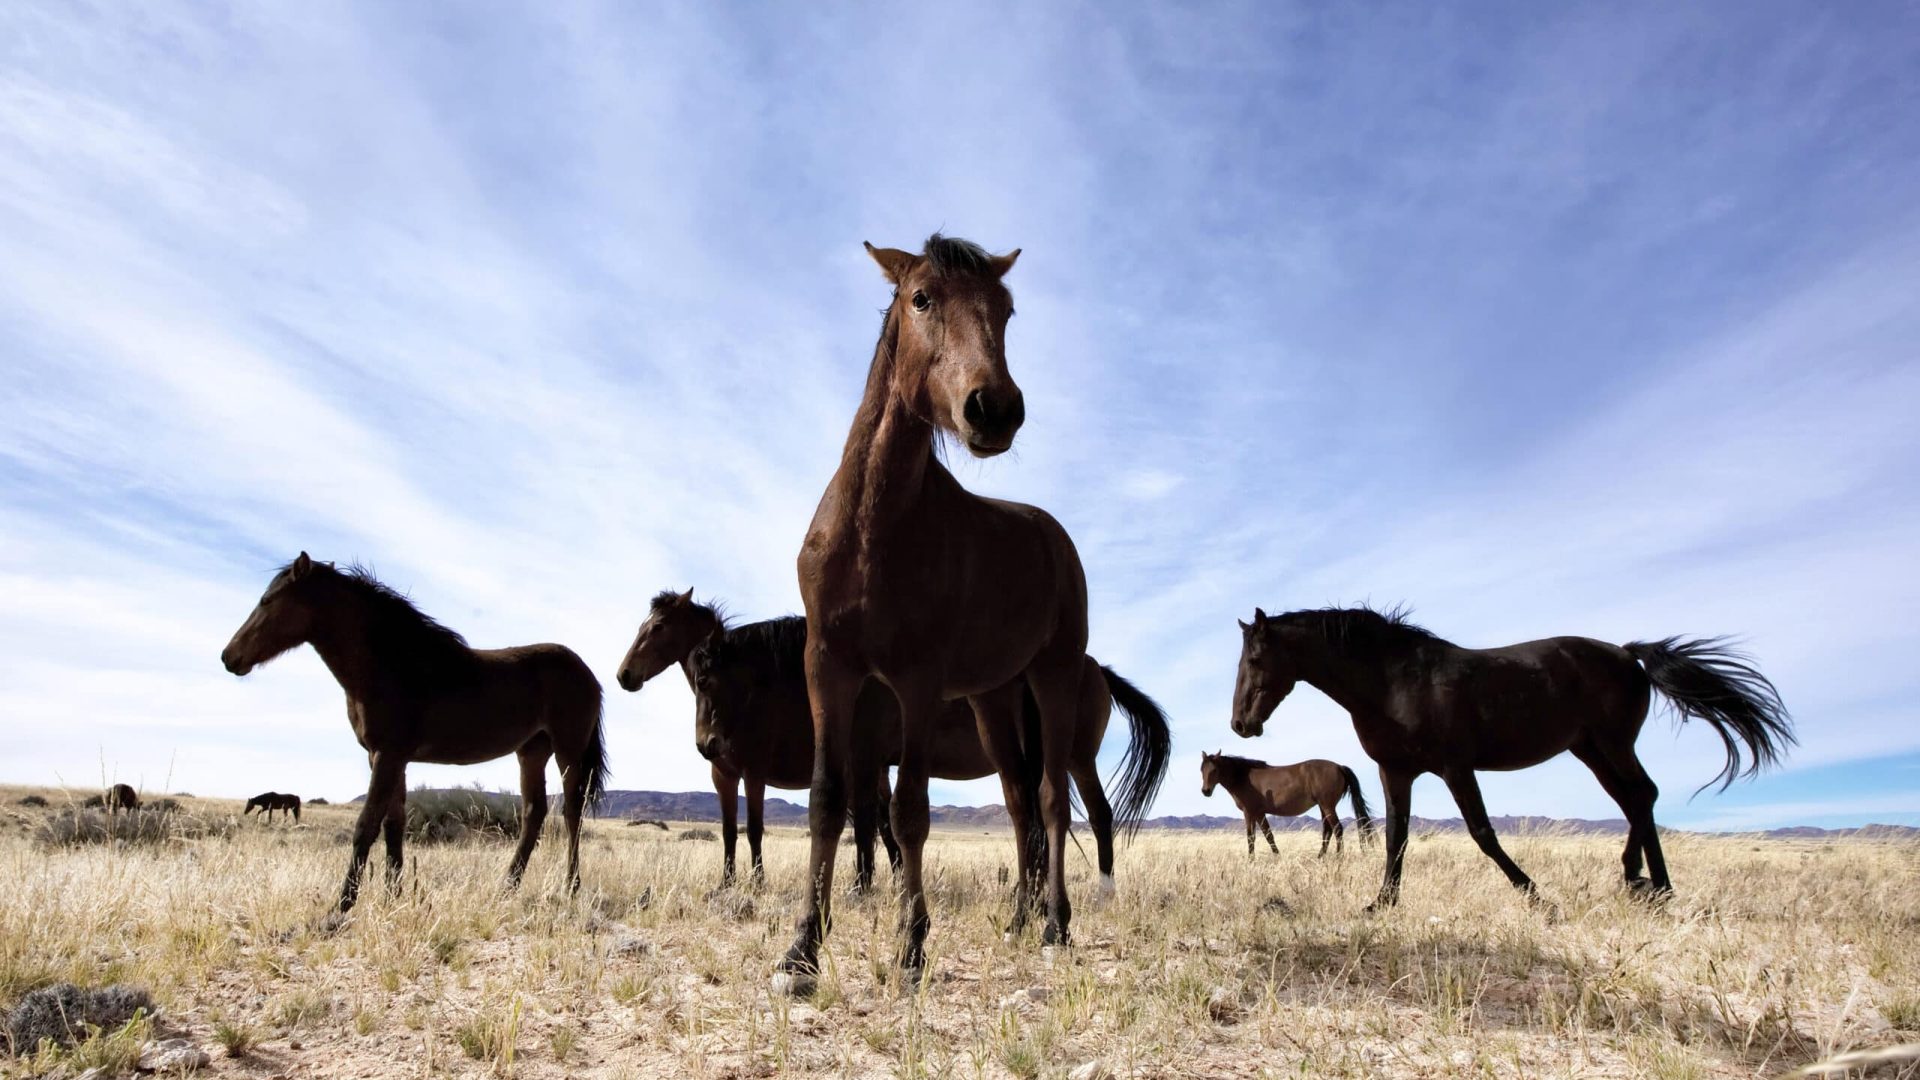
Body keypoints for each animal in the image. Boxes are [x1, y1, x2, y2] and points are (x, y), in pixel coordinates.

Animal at [221, 553, 606, 907]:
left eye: (267, 600)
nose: (228, 657)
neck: (392, 666)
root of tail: (587, 673)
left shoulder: (388, 755)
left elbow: (366, 826)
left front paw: (341, 908)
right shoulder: (388, 758)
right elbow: (393, 826)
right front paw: (393, 896)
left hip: (568, 751)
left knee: (571, 814)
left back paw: (570, 887)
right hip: (532, 751)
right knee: (533, 813)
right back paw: (507, 887)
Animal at [771, 231, 1098, 991]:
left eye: (1006, 309)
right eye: (921, 298)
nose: (994, 409)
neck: (873, 527)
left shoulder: (916, 682)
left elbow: (910, 811)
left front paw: (912, 946)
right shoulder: (826, 668)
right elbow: (827, 801)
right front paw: (802, 949)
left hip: (1055, 677)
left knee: (1049, 798)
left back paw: (1054, 925)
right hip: (993, 698)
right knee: (1018, 798)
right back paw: (1017, 920)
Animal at [1190, 753, 1374, 853]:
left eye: (1214, 770)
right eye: (1201, 769)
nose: (1205, 791)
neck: (1243, 777)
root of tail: (1339, 767)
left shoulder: (1251, 812)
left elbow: (1259, 837)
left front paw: (1261, 859)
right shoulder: (1256, 813)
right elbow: (1261, 836)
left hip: (1327, 806)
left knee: (1337, 829)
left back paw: (1338, 857)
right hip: (1323, 807)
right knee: (1327, 831)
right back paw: (1320, 857)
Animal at [1236, 599, 1789, 903]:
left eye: (1257, 658)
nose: (1240, 723)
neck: (1394, 680)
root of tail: (1627, 654)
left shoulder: (1455, 767)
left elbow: (1482, 832)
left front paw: (1536, 896)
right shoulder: (1397, 771)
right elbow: (1396, 837)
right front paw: (1382, 904)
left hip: (1613, 743)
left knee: (1642, 794)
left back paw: (1655, 885)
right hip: (1590, 750)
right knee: (1636, 799)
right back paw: (1640, 882)